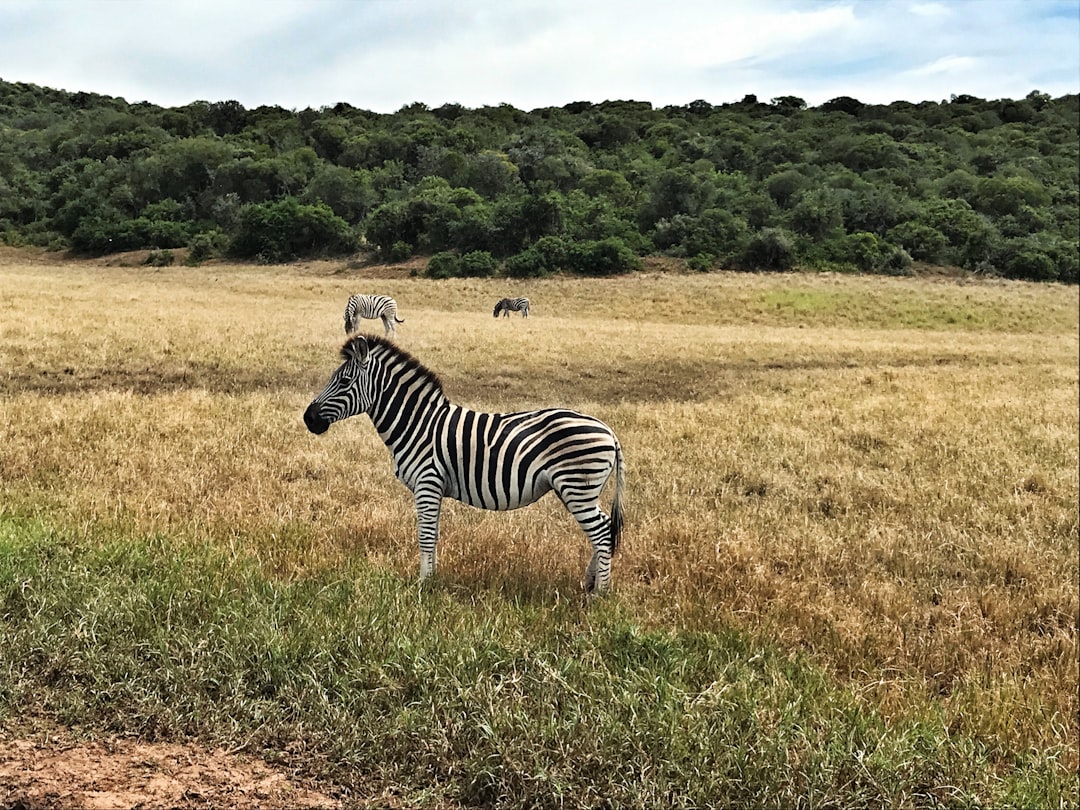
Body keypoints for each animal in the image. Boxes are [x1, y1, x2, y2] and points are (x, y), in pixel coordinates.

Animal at [304, 336, 626, 596]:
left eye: (344, 382)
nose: (308, 419)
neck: (417, 424)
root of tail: (609, 431)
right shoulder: (433, 488)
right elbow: (433, 534)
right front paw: (432, 579)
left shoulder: (427, 483)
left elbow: (425, 536)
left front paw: (423, 584)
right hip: (578, 491)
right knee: (604, 529)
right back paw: (589, 584)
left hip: (577, 488)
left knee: (601, 531)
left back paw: (600, 593)